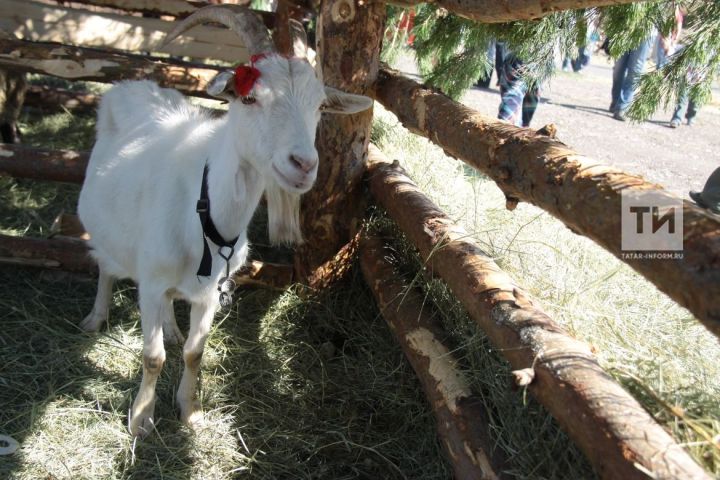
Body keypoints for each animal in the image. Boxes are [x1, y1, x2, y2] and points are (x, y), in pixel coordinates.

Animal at [76, 4, 374, 438]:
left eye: (320, 106)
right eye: (249, 97)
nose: (303, 164)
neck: (203, 217)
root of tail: (133, 85)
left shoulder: (209, 294)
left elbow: (194, 352)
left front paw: (190, 411)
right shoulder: (150, 281)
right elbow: (152, 356)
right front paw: (141, 419)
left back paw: (171, 327)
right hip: (104, 230)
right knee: (104, 264)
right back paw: (96, 317)